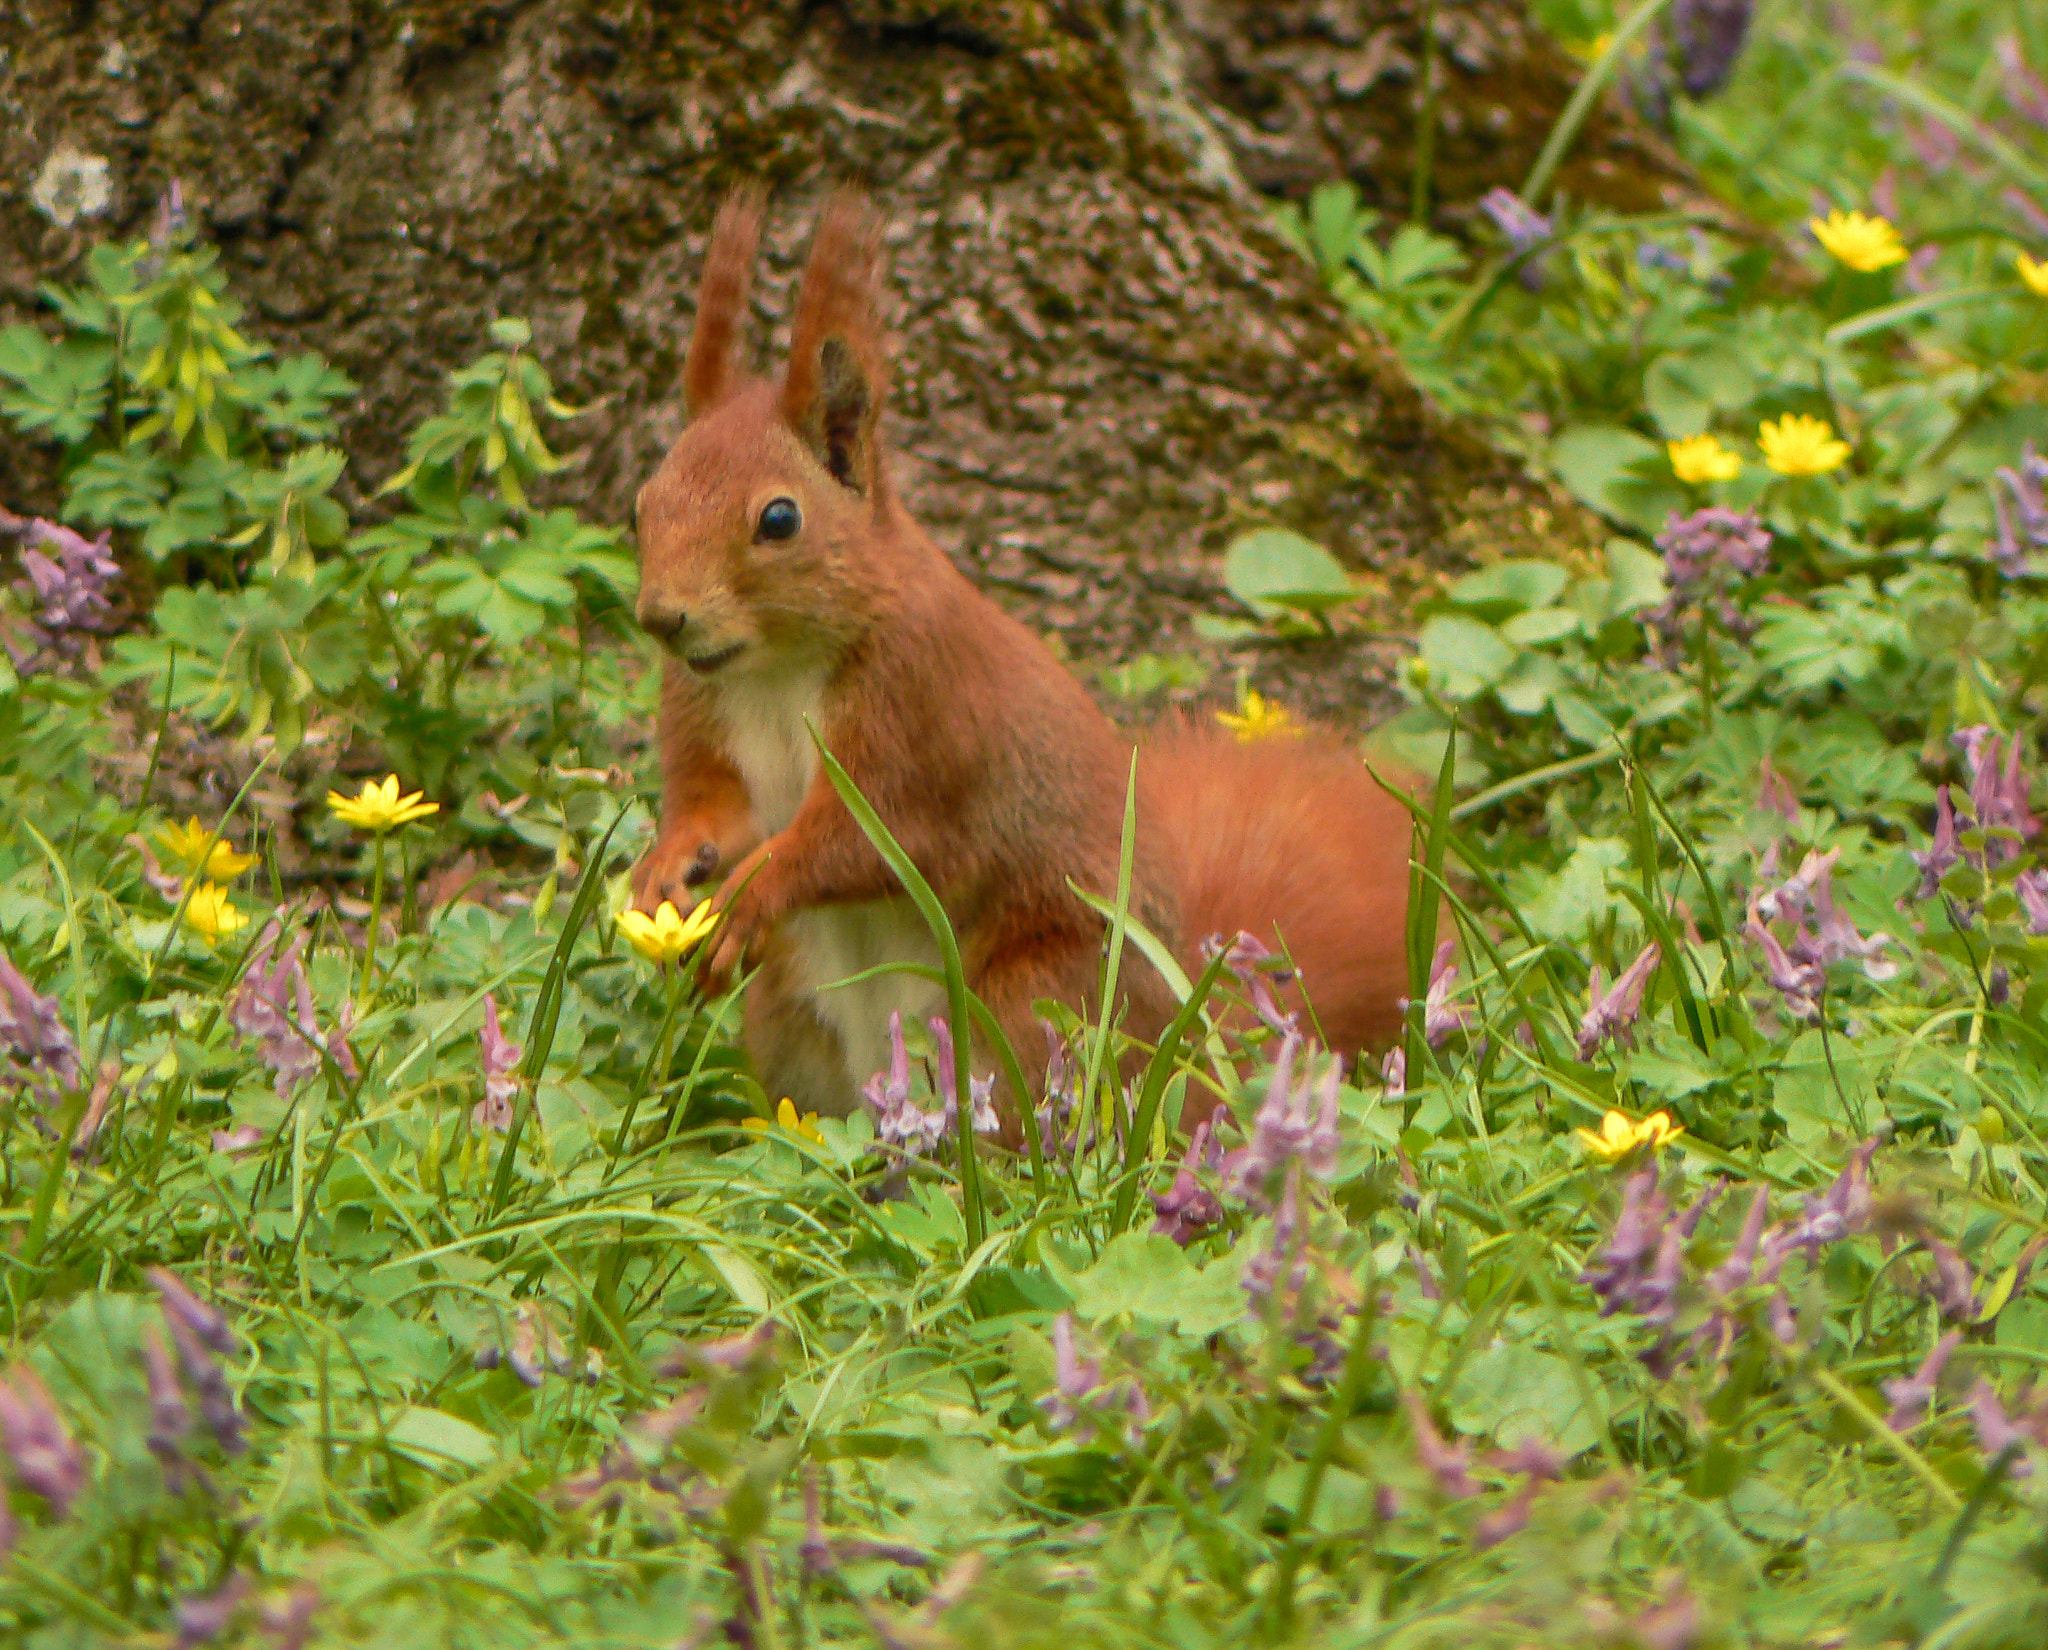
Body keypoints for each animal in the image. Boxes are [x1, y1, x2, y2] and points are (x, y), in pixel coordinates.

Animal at [630, 190, 1417, 1121]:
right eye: (643, 503)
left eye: (779, 519)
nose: (662, 618)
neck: (775, 668)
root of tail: (1177, 1050)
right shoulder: (703, 710)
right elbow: (710, 803)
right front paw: (664, 866)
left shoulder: (924, 714)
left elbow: (866, 839)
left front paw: (754, 890)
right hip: (792, 1020)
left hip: (1029, 1008)